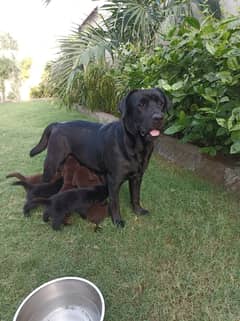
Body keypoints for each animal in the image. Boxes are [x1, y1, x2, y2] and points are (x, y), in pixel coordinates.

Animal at [29, 88, 170, 228]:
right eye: (141, 105)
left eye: (161, 103)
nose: (159, 117)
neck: (137, 146)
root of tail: (58, 124)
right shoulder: (114, 180)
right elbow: (115, 202)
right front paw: (117, 221)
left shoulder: (137, 177)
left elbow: (135, 196)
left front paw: (138, 211)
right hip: (52, 161)